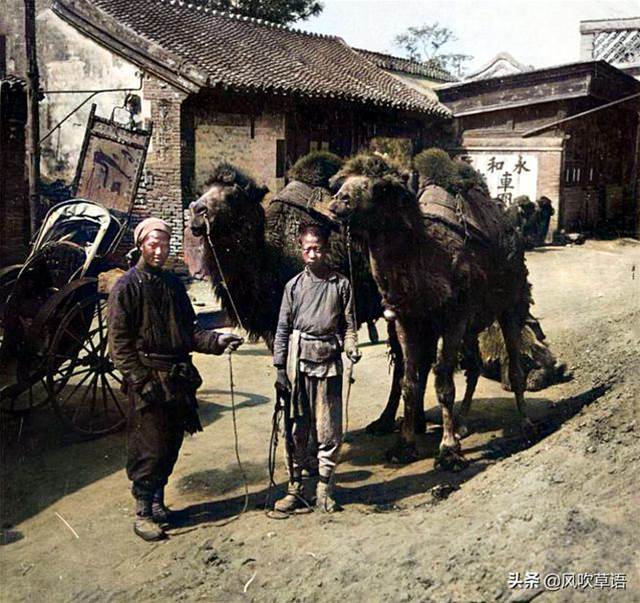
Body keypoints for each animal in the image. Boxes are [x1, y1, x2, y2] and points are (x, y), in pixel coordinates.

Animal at [330, 153, 536, 470]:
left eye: (380, 188)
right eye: (342, 182)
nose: (340, 201)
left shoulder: (453, 317)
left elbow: (443, 383)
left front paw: (448, 451)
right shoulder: (409, 319)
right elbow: (409, 382)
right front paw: (403, 447)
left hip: (510, 304)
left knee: (514, 366)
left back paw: (525, 427)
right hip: (471, 323)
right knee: (474, 365)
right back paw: (462, 425)